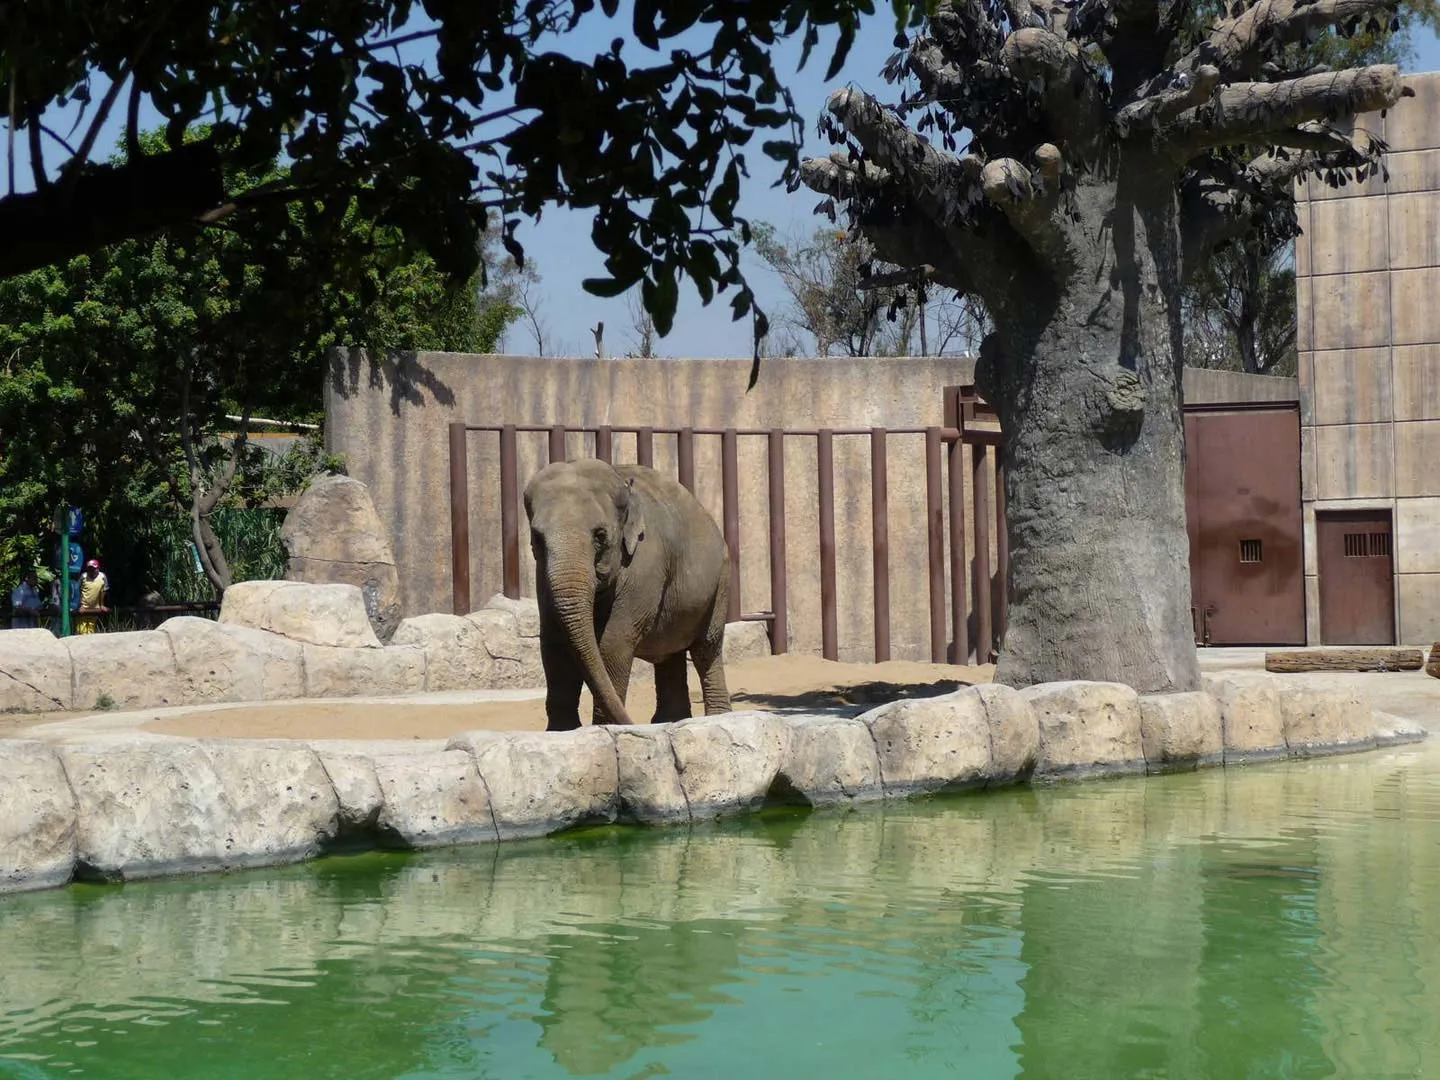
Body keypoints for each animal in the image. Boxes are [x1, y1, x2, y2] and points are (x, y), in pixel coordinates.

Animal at [524, 460, 737, 731]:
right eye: (537, 538)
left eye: (600, 535)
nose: (631, 721)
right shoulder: (543, 573)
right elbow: (554, 641)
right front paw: (562, 731)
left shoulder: (646, 564)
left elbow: (614, 642)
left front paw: (604, 726)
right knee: (671, 652)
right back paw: (670, 720)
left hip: (721, 582)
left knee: (707, 647)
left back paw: (717, 716)